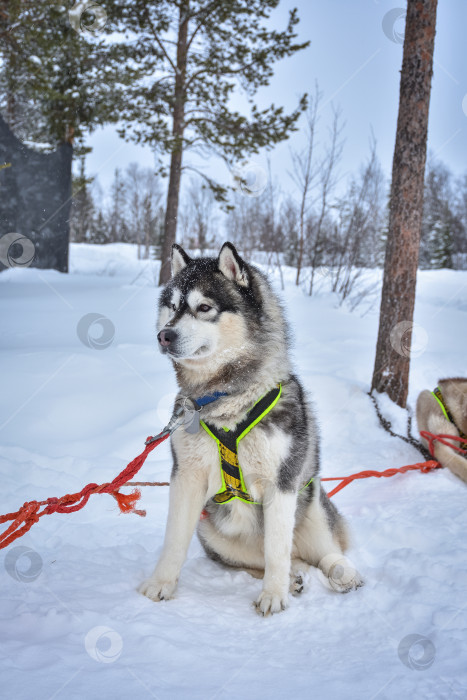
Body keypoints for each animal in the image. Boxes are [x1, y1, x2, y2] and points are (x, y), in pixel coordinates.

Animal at [140, 242, 366, 612]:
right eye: (172, 307)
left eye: (204, 308)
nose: (164, 335)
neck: (224, 399)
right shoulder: (186, 478)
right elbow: (173, 540)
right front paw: (160, 584)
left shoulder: (281, 483)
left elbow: (276, 550)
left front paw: (273, 596)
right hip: (212, 531)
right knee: (271, 559)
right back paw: (295, 576)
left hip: (312, 505)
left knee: (320, 551)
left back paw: (340, 572)